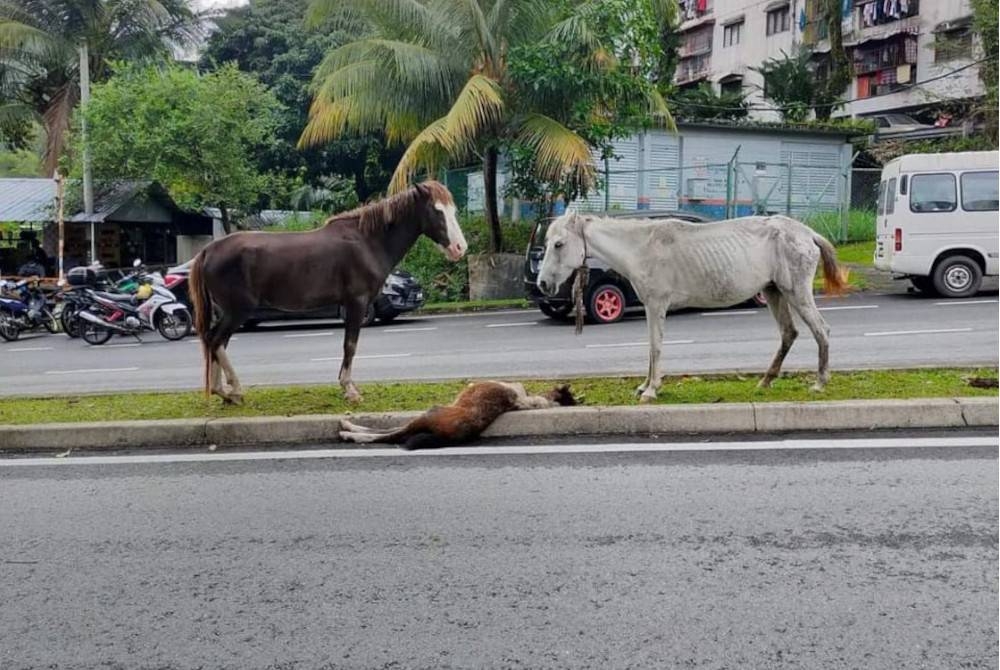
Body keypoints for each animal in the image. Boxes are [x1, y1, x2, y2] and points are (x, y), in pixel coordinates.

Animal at [189, 181, 466, 404]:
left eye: (452, 210)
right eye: (436, 210)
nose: (459, 248)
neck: (367, 241)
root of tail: (208, 251)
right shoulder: (356, 303)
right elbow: (350, 345)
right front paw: (349, 389)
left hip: (229, 312)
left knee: (216, 342)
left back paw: (224, 392)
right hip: (238, 310)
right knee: (216, 340)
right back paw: (233, 390)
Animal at [536, 213, 848, 402]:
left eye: (559, 244)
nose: (542, 283)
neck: (641, 247)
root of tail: (807, 233)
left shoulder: (657, 305)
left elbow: (655, 347)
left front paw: (651, 390)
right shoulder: (650, 308)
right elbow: (650, 348)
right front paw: (645, 385)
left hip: (796, 292)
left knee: (821, 330)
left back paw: (820, 382)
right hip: (774, 292)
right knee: (788, 333)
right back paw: (765, 381)